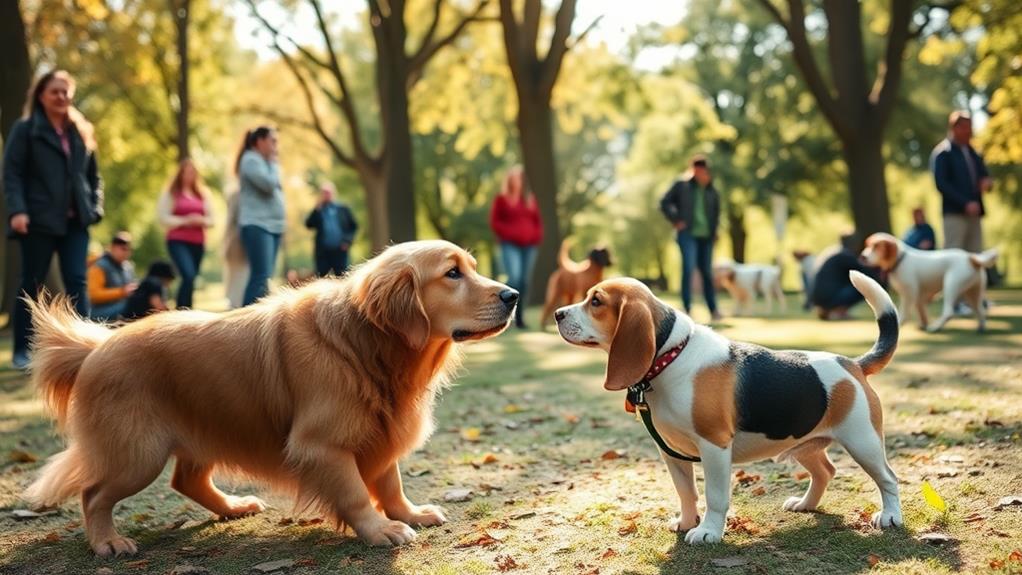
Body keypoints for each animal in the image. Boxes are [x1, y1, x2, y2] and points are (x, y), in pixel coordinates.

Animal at [24, 240, 519, 559]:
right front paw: (380, 529)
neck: (361, 343)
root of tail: (95, 347)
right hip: (137, 454)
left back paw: (233, 507)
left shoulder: (378, 428)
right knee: (93, 493)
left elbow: (389, 482)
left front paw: (409, 513)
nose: (513, 295)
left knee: (186, 480)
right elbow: (357, 493)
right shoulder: (321, 445)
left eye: (471, 267)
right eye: (452, 273)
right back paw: (106, 542)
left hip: (206, 426)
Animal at [862, 232, 997, 332]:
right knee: (980, 310)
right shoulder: (919, 297)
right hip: (973, 292)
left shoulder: (909, 294)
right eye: (867, 245)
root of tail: (970, 257)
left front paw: (899, 325)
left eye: (876, 247)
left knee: (949, 312)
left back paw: (935, 327)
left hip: (951, 285)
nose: (863, 256)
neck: (900, 260)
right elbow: (921, 311)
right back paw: (980, 327)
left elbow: (904, 314)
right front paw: (923, 324)